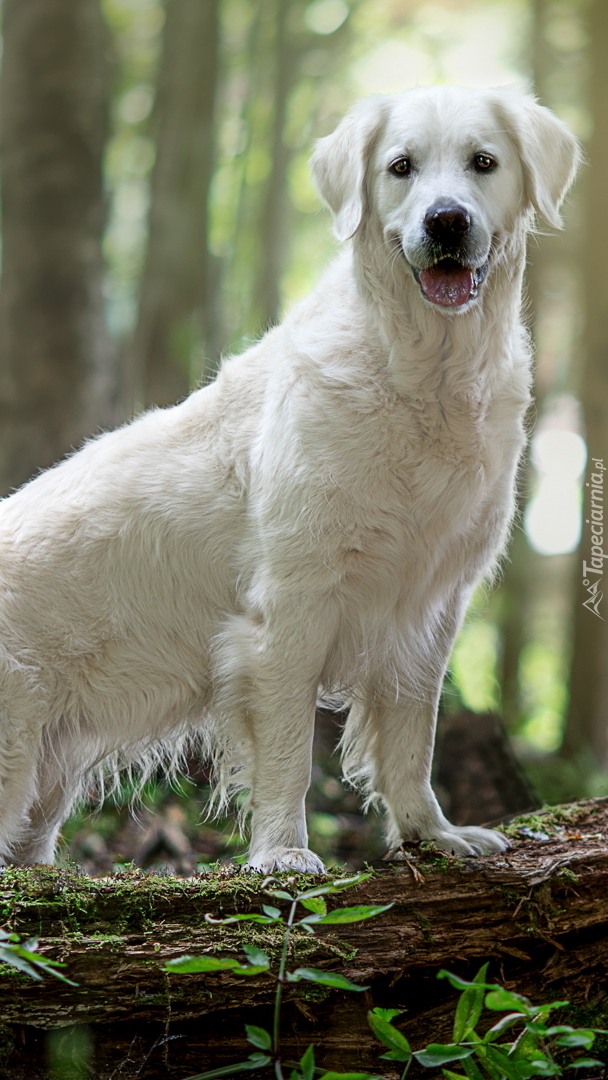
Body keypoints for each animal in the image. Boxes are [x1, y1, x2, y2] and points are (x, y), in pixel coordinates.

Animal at [0, 88, 578, 872]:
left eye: (483, 162)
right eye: (401, 167)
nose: (446, 221)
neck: (425, 376)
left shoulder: (429, 608)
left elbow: (413, 738)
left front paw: (431, 833)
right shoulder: (291, 607)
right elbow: (288, 749)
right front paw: (282, 853)